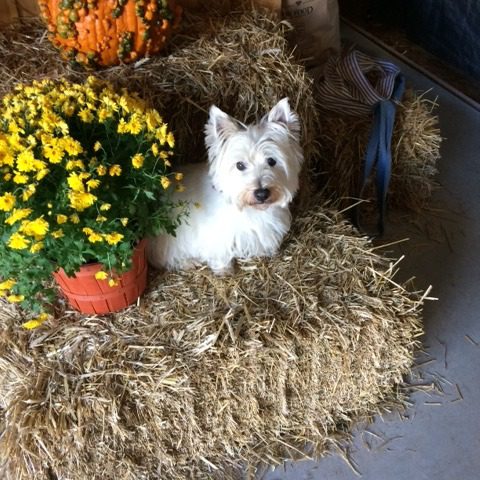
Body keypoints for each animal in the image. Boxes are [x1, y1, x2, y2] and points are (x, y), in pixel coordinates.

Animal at [147, 97, 304, 274]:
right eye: (240, 165)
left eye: (271, 161)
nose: (261, 194)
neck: (251, 210)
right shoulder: (216, 236)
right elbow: (220, 254)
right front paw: (224, 271)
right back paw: (188, 262)